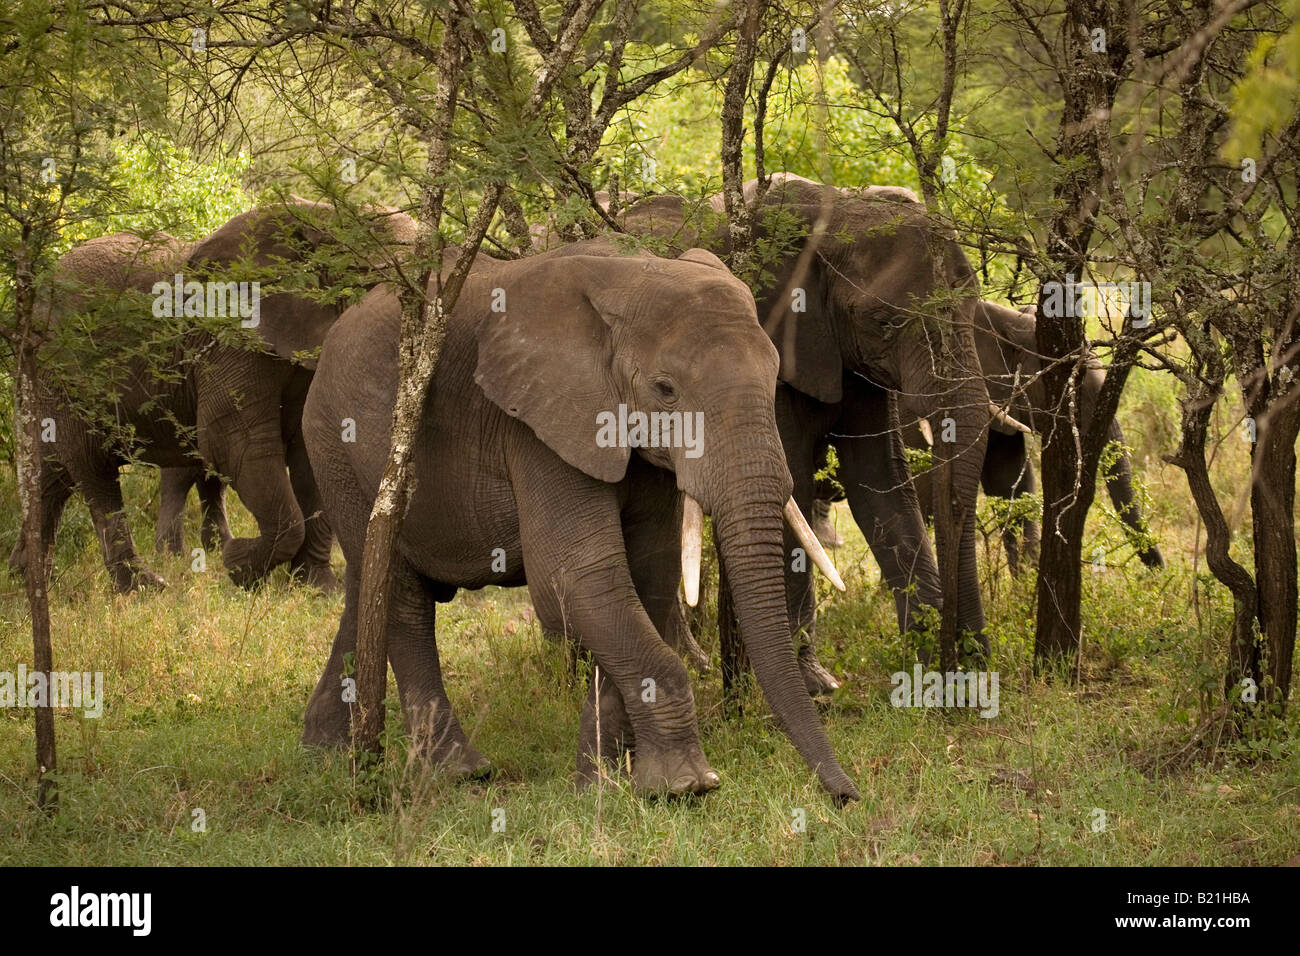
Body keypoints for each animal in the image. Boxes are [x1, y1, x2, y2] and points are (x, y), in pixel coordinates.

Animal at [7, 200, 413, 590]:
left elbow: (307, 457)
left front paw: (318, 588)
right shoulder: (230, 337)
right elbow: (236, 443)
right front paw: (238, 565)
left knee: (49, 472)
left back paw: (28, 581)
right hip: (64, 365)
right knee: (93, 467)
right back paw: (143, 588)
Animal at [299, 238, 857, 801]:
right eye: (666, 390)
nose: (846, 795)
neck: (626, 276)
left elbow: (644, 577)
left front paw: (600, 785)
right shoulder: (537, 425)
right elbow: (577, 579)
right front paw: (685, 786)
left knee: (367, 584)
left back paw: (326, 751)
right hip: (336, 442)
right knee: (402, 598)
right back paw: (459, 772)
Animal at [600, 174, 993, 681]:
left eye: (973, 302)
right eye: (885, 322)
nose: (968, 655)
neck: (839, 211)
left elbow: (882, 483)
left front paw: (927, 666)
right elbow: (794, 487)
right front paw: (816, 682)